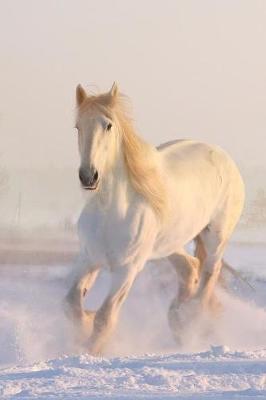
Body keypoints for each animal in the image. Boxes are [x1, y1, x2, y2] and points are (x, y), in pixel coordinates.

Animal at [65, 83, 245, 354]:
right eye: (78, 126)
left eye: (108, 125)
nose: (88, 176)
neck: (111, 212)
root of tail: (222, 155)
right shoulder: (88, 258)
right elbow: (72, 303)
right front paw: (84, 325)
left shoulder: (127, 269)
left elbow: (105, 317)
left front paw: (90, 350)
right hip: (169, 244)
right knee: (190, 267)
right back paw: (178, 319)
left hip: (216, 236)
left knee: (209, 273)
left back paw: (190, 319)